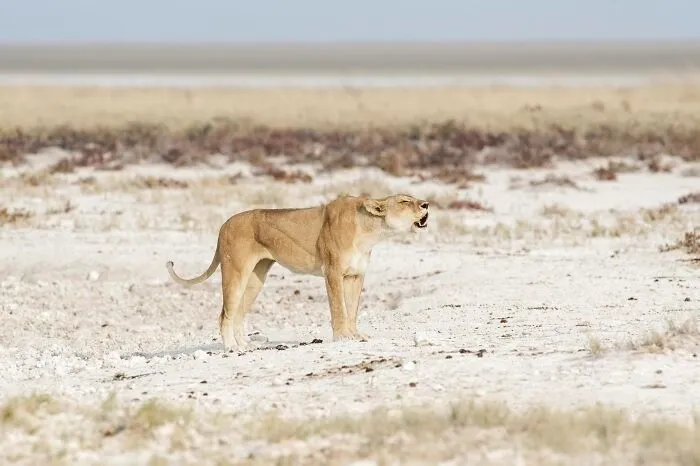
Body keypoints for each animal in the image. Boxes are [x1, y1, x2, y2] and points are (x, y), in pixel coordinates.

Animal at [166, 193, 429, 352]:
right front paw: (342, 337)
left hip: (255, 278)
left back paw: (246, 346)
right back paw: (231, 348)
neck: (370, 232)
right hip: (235, 272)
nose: (426, 204)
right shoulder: (332, 272)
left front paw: (355, 335)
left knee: (238, 313)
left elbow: (352, 309)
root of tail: (223, 225)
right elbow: (339, 308)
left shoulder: (356, 275)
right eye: (404, 201)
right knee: (225, 315)